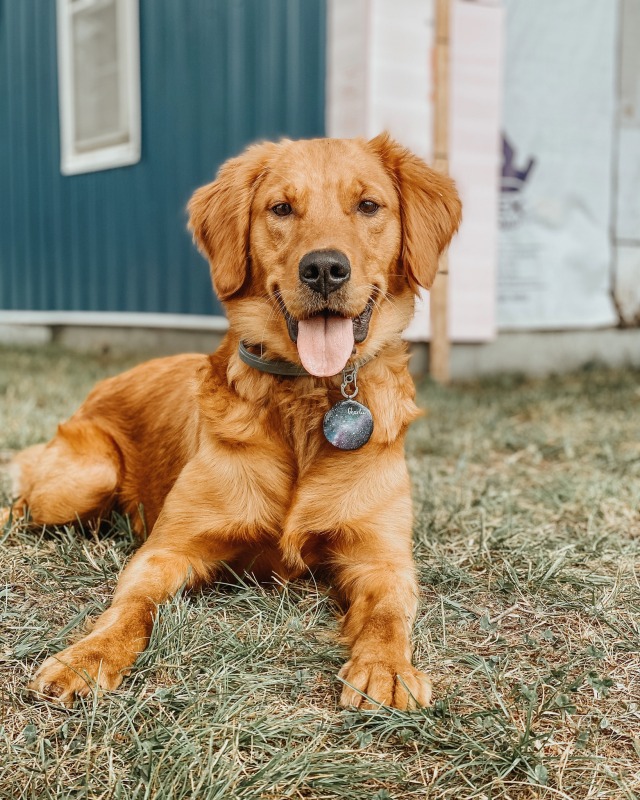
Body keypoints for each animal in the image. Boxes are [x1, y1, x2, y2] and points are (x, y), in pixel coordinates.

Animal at [8, 134, 460, 708]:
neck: (306, 398)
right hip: (84, 480)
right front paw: (88, 656)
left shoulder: (380, 558)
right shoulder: (168, 550)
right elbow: (130, 609)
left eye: (368, 205)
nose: (324, 269)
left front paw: (386, 667)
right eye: (281, 208)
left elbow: (385, 614)